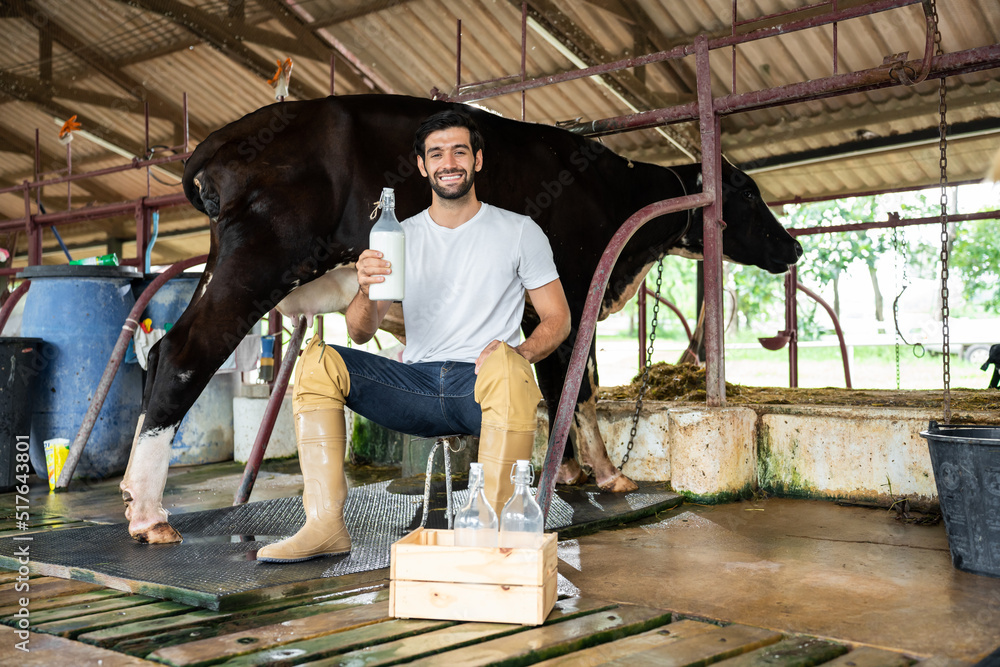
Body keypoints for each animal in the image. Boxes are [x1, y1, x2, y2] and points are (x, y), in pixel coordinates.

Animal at [121, 92, 800, 544]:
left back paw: (134, 497)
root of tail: (226, 137)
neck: (614, 195)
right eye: (748, 193)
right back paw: (150, 516)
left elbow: (566, 384)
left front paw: (571, 469)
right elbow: (575, 383)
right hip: (257, 261)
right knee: (181, 357)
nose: (792, 247)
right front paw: (606, 476)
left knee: (158, 355)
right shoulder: (569, 287)